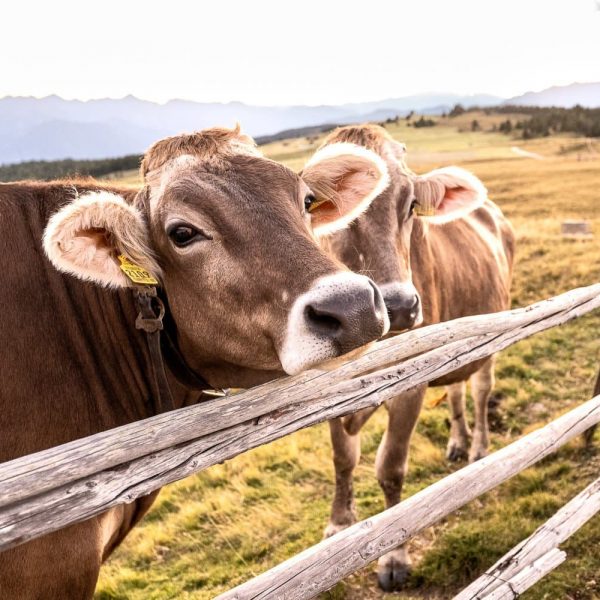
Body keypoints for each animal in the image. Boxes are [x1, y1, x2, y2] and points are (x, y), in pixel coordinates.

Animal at [302, 125, 512, 592]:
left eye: (412, 204)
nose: (398, 307)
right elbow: (343, 458)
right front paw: (338, 525)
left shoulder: (411, 387)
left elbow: (390, 467)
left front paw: (393, 557)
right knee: (456, 389)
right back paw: (458, 442)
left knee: (480, 389)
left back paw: (479, 447)